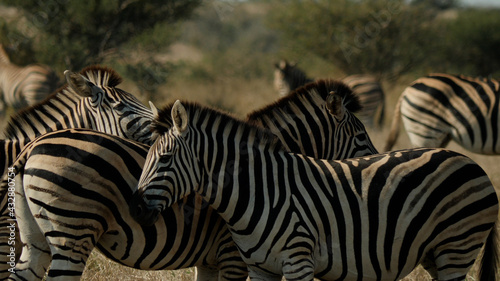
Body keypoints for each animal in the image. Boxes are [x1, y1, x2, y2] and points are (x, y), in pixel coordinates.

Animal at [132, 100, 500, 280]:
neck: (258, 191)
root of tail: (470, 162)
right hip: (435, 253)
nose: (134, 209)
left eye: (164, 158)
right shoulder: (260, 270)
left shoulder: (298, 263)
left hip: (457, 247)